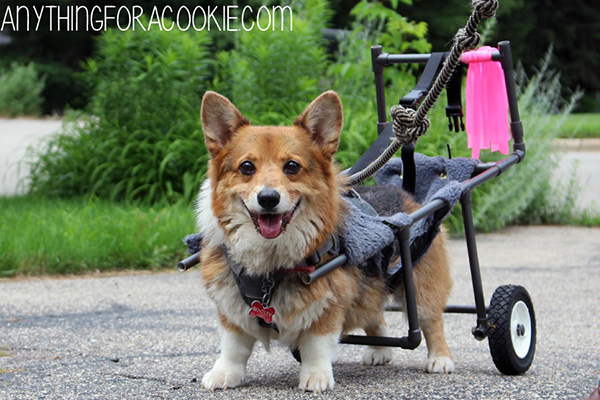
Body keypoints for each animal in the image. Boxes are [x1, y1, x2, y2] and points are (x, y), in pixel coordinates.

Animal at [197, 90, 454, 390]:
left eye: (292, 166)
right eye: (246, 167)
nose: (268, 198)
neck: (271, 262)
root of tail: (404, 193)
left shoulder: (330, 303)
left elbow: (315, 345)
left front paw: (316, 377)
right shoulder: (230, 307)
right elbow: (234, 346)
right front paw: (224, 373)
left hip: (420, 283)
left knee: (432, 321)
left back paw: (440, 359)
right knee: (374, 312)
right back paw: (379, 351)